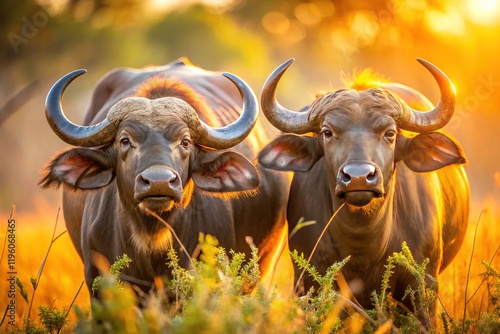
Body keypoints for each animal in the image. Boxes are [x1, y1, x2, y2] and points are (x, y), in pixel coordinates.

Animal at [258, 58, 468, 328]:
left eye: (390, 133)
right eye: (327, 132)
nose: (358, 177)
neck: (363, 244)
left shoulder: (423, 286)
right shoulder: (308, 283)